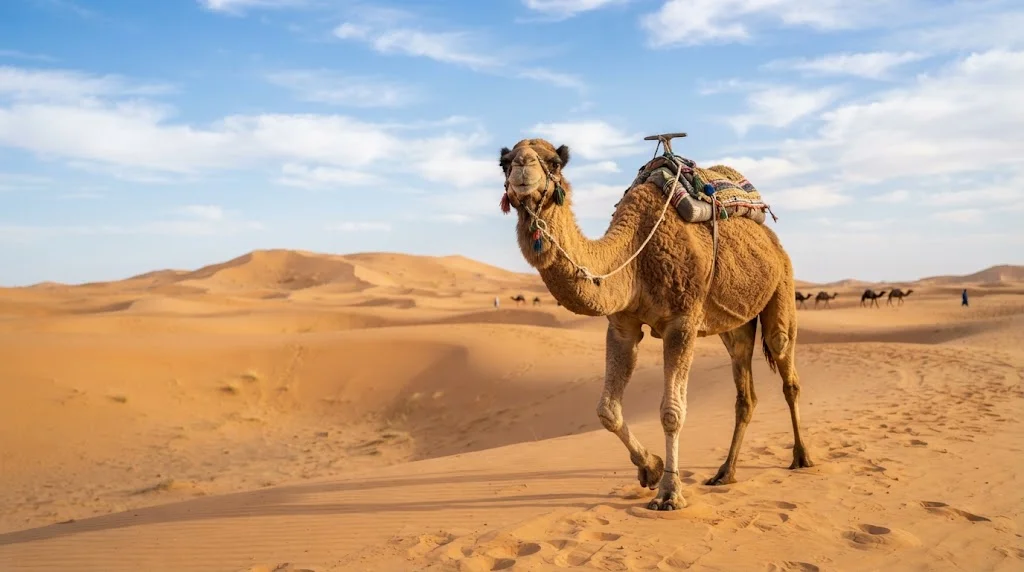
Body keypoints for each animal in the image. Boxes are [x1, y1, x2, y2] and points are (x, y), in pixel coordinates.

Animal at [498, 137, 813, 511]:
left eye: (554, 162)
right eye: (504, 163)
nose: (522, 168)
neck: (632, 255)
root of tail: (770, 238)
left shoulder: (682, 321)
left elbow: (671, 412)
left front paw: (669, 493)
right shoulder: (622, 326)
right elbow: (607, 410)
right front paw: (650, 468)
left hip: (783, 284)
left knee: (786, 367)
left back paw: (801, 457)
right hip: (736, 325)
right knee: (745, 393)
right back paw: (725, 472)